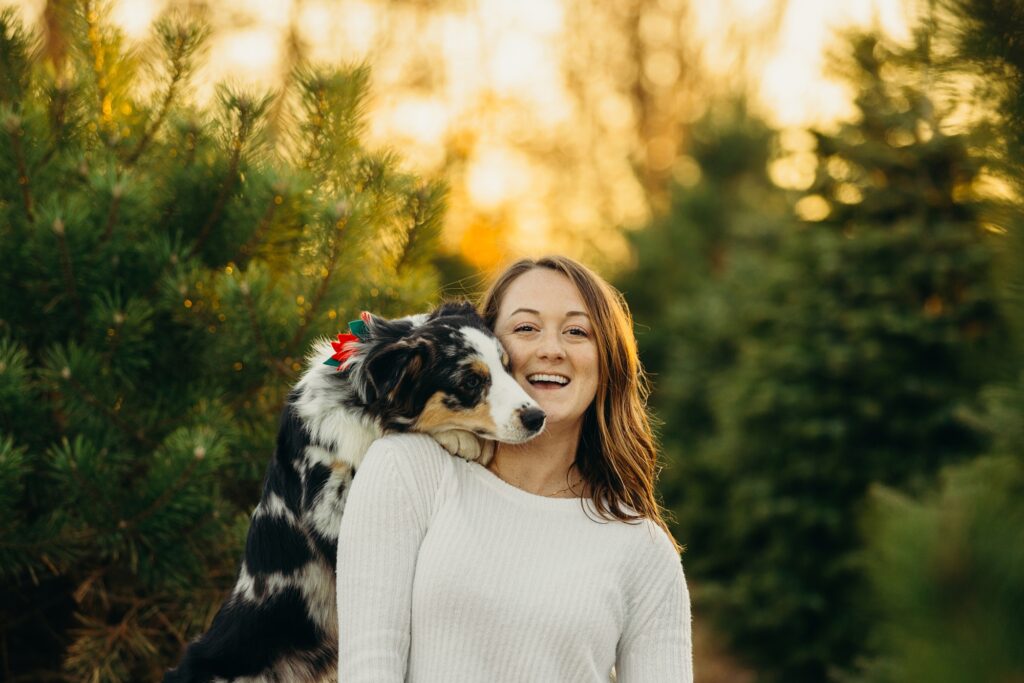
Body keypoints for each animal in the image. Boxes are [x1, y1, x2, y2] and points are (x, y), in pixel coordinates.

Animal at [162, 303, 544, 683]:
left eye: (507, 366)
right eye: (471, 382)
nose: (538, 417)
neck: (357, 399)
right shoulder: (328, 507)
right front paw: (459, 438)